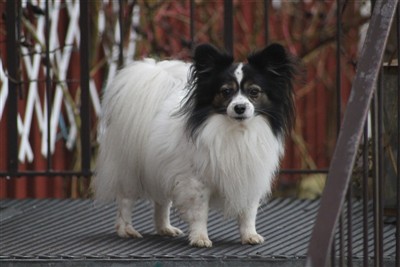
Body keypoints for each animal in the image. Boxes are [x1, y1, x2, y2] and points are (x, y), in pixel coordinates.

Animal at [92, 43, 296, 248]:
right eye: (226, 91)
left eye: (254, 92)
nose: (240, 108)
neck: (236, 131)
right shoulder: (196, 183)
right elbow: (199, 214)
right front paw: (200, 238)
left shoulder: (250, 178)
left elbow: (248, 213)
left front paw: (249, 235)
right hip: (130, 170)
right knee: (125, 200)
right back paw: (126, 229)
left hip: (162, 169)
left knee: (161, 201)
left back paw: (164, 228)